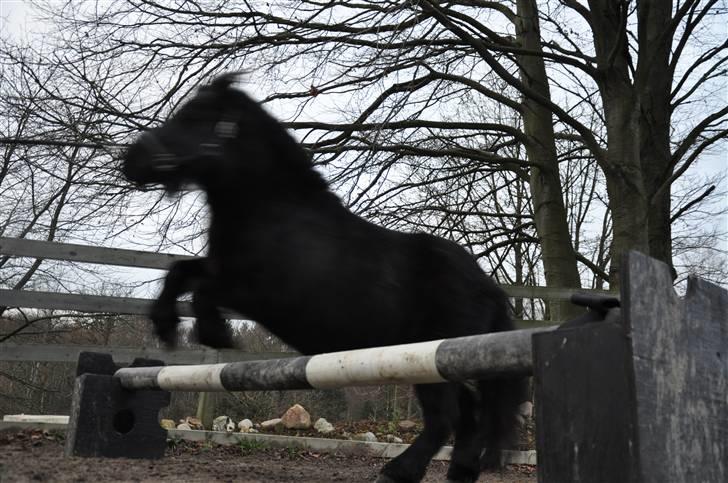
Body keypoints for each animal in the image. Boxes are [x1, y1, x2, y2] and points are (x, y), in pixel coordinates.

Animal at [122, 74, 527, 483]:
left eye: (197, 117)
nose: (132, 160)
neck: (275, 211)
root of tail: (488, 287)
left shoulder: (257, 293)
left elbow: (204, 291)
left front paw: (214, 334)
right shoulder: (222, 269)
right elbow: (180, 272)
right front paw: (166, 326)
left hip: (432, 358)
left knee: (446, 417)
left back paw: (398, 471)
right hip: (441, 360)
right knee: (469, 412)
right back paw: (459, 472)